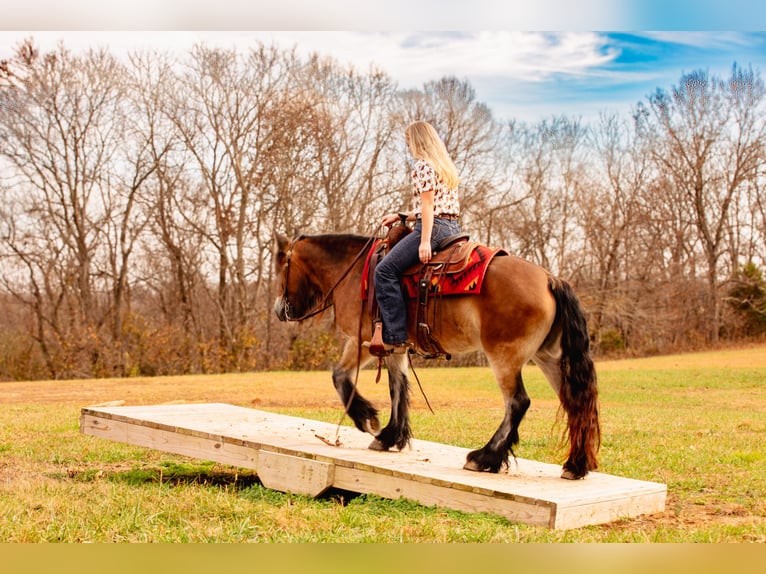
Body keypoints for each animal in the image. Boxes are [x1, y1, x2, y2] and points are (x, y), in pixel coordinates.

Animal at [273, 232, 600, 479]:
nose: (279, 310)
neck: (354, 273)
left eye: (282, 268)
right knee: (574, 403)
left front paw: (367, 420)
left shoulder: (362, 340)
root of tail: (549, 279)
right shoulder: (394, 346)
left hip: (504, 357)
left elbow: (340, 376)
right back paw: (575, 465)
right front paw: (392, 436)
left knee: (518, 402)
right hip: (549, 358)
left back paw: (485, 457)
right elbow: (398, 387)